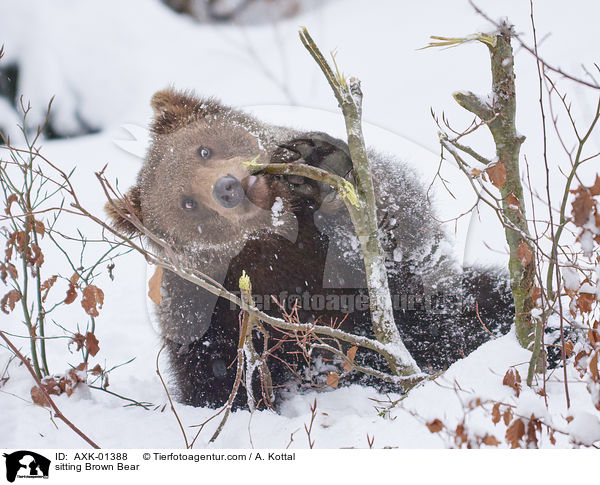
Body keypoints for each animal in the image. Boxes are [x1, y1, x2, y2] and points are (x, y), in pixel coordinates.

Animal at [105, 89, 512, 406]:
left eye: (203, 150)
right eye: (186, 203)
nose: (227, 187)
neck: (276, 247)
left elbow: (395, 265)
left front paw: (319, 165)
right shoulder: (205, 305)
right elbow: (211, 372)